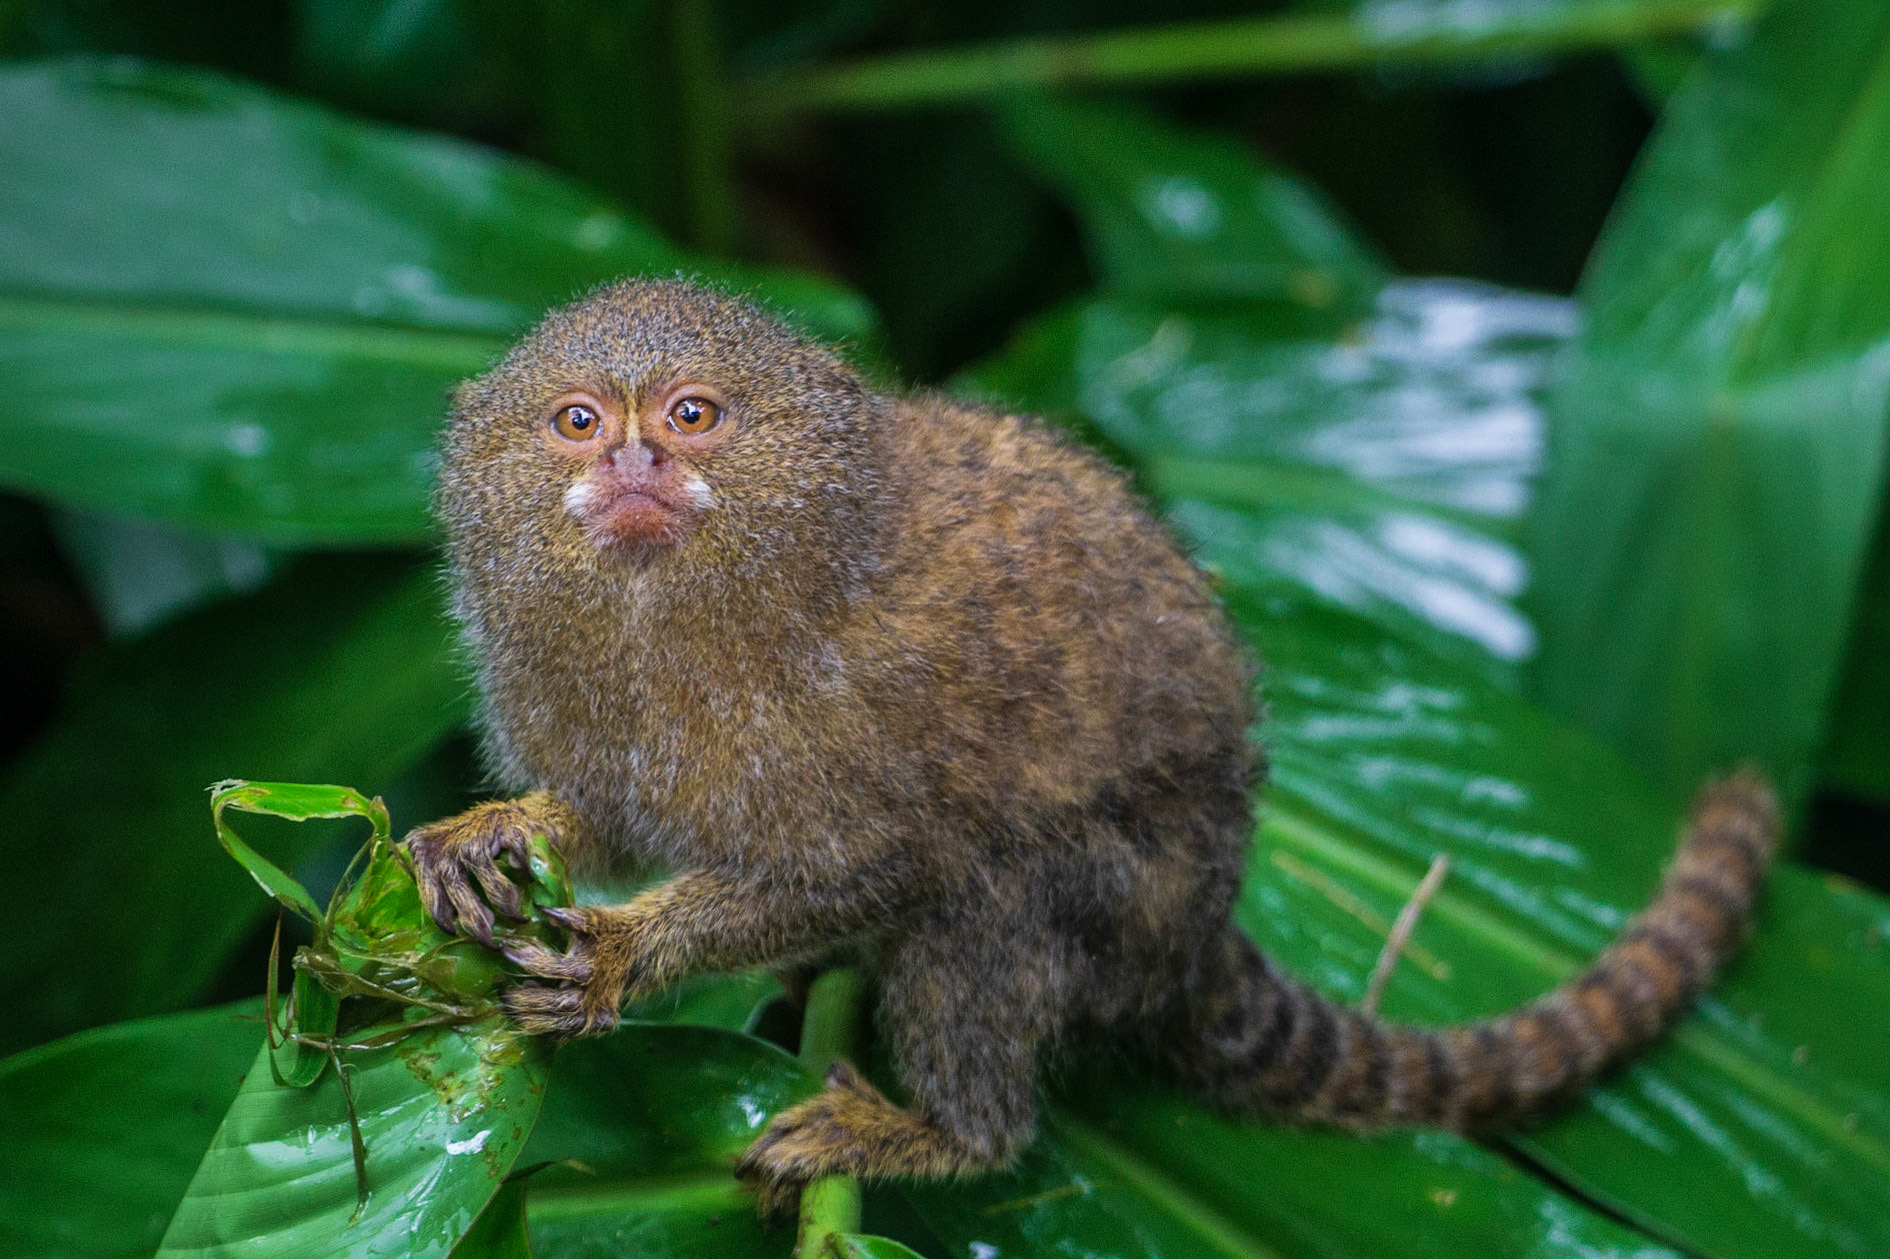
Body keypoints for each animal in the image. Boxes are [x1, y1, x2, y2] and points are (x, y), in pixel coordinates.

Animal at [407, 278, 1779, 1218]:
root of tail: (1201, 930)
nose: (634, 458)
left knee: (982, 913)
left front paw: (624, 956)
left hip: (1112, 902)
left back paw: (942, 1134)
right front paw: (498, 833)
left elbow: (873, 867)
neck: (678, 617)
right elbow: (608, 816)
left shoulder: (846, 726)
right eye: (577, 421)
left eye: (692, 414)